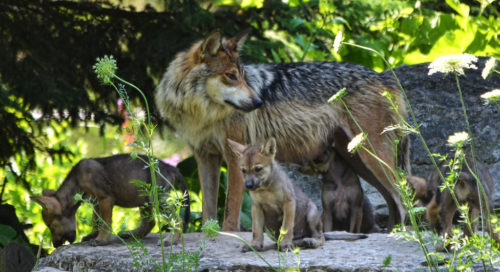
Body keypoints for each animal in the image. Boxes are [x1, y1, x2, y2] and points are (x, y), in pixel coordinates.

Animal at [155, 29, 410, 230]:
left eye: (243, 77)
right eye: (231, 76)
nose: (258, 101)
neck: (202, 115)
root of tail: (385, 78)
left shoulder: (235, 158)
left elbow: (230, 211)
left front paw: (228, 235)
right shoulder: (205, 157)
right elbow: (209, 210)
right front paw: (209, 236)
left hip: (373, 157)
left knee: (403, 196)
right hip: (360, 159)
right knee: (393, 199)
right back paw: (393, 232)